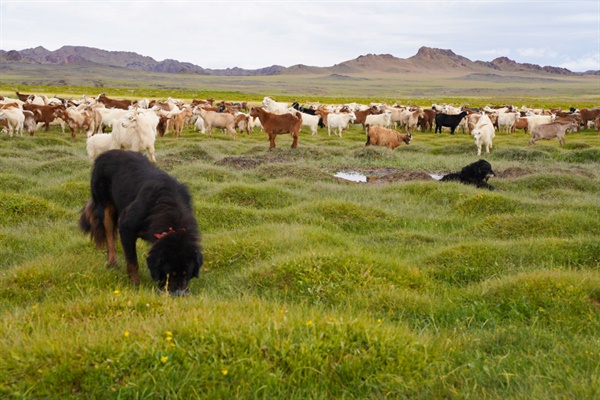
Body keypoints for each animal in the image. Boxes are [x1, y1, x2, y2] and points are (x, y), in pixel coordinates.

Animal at [78, 149, 202, 294]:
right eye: (168, 274)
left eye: (187, 274)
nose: (178, 294)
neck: (169, 207)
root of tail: (106, 153)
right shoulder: (126, 227)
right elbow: (132, 261)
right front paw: (135, 284)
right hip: (105, 207)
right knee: (109, 238)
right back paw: (112, 263)